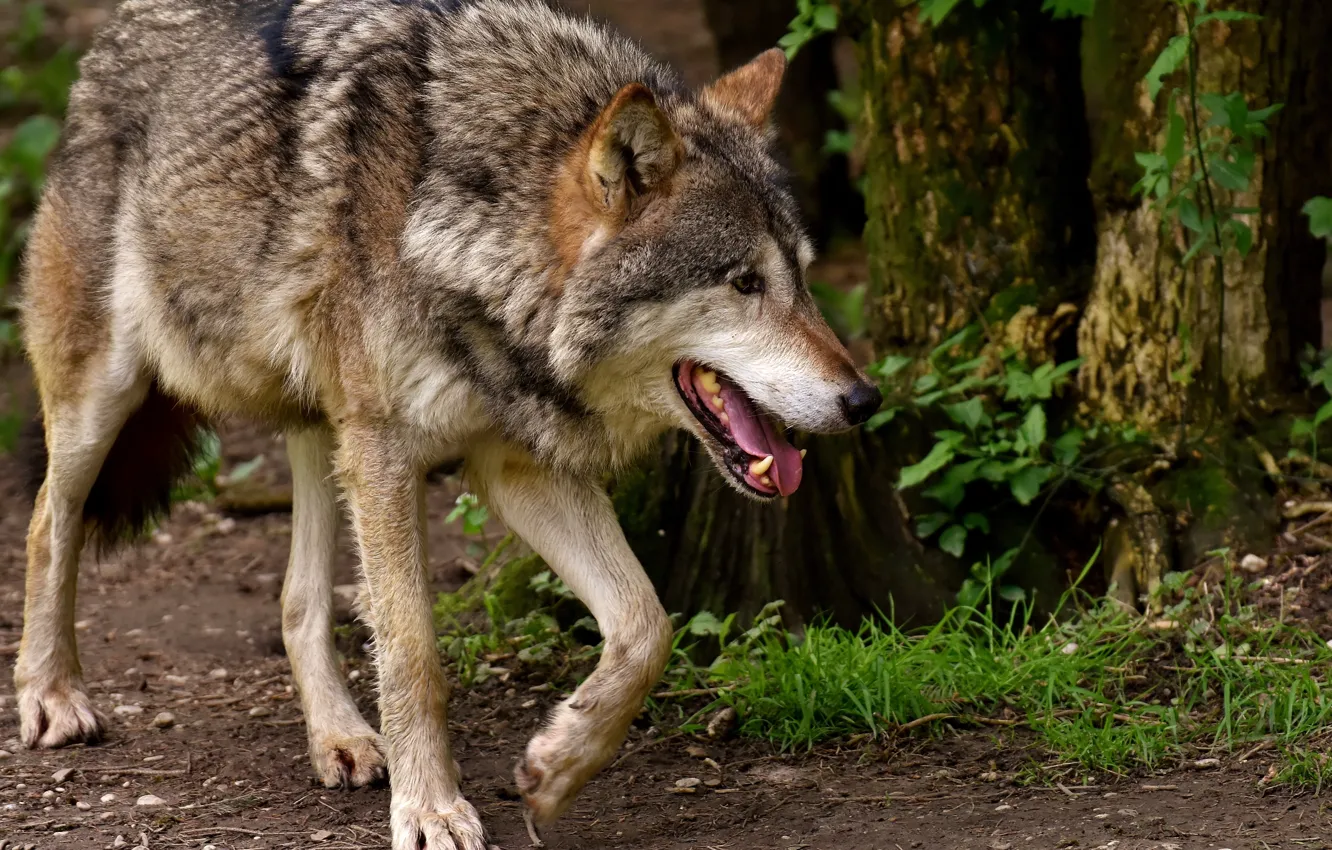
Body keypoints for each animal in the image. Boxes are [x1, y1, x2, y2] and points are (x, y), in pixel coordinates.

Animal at [13, 0, 882, 846]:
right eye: (744, 282)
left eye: (804, 278)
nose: (864, 400)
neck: (471, 233)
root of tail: (112, 32)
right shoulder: (390, 455)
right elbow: (414, 655)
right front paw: (430, 810)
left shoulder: (514, 466)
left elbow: (646, 626)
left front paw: (557, 767)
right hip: (109, 395)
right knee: (48, 522)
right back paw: (51, 696)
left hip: (324, 428)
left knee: (298, 599)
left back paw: (341, 739)